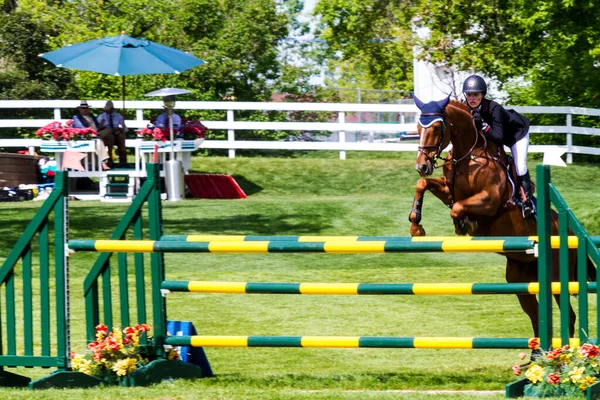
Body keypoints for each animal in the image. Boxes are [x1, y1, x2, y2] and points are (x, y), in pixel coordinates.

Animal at [408, 95, 596, 340]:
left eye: (438, 127)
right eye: (418, 127)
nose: (422, 165)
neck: (468, 156)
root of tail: (572, 232)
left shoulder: (489, 200)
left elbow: (457, 208)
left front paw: (463, 226)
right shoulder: (449, 191)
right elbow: (424, 185)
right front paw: (416, 226)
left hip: (556, 277)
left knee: (569, 316)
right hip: (520, 279)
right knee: (536, 316)